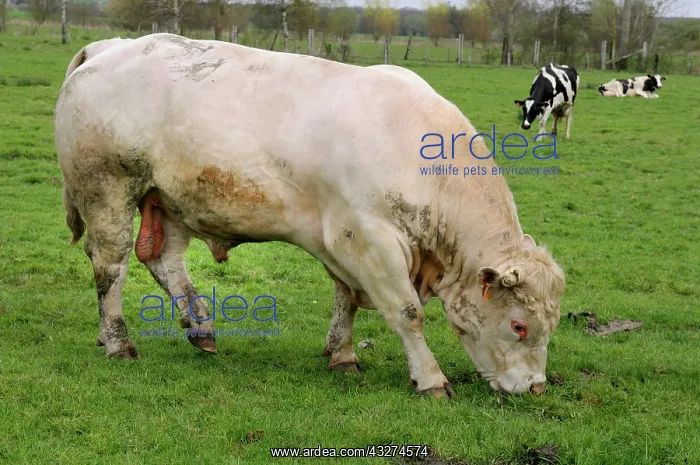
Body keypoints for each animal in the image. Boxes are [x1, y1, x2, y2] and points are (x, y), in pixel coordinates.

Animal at [55, 34, 566, 398]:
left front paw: (342, 353)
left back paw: (201, 327)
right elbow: (407, 313)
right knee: (110, 266)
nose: (536, 388)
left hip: (169, 199)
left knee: (164, 261)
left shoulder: (340, 239)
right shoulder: (367, 236)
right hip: (107, 188)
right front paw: (430, 379)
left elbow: (347, 298)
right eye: (519, 326)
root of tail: (109, 46)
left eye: (551, 324)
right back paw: (118, 341)